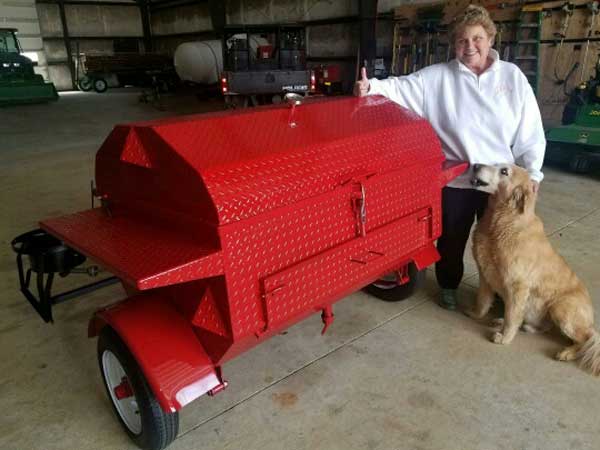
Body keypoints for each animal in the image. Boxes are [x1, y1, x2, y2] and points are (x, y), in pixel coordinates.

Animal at [468, 163, 600, 374]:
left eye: (504, 171)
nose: (475, 165)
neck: (501, 221)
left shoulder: (518, 286)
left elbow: (512, 315)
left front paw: (504, 338)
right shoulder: (485, 273)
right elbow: (483, 301)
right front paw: (475, 314)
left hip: (560, 308)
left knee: (587, 339)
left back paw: (566, 353)